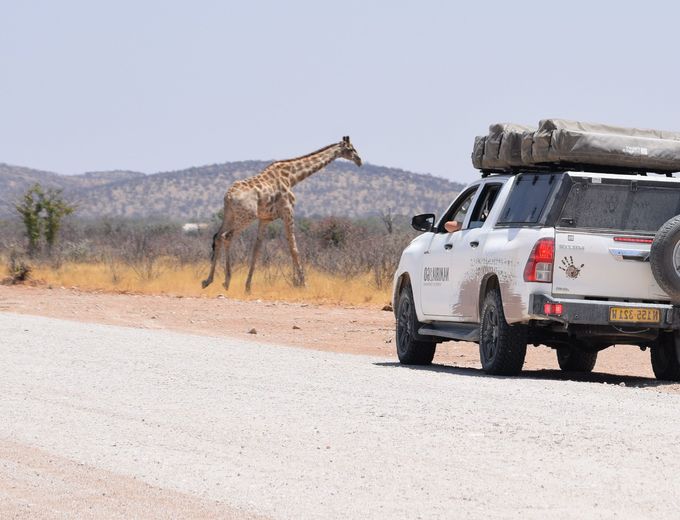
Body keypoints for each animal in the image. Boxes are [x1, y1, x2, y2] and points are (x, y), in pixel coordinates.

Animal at [201, 137, 362, 292]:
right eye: (351, 149)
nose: (359, 160)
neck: (292, 177)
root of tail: (228, 196)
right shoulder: (288, 211)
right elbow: (293, 248)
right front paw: (304, 284)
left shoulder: (265, 219)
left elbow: (257, 249)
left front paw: (248, 286)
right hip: (246, 217)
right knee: (227, 236)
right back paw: (226, 281)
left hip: (230, 215)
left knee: (217, 236)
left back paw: (207, 280)